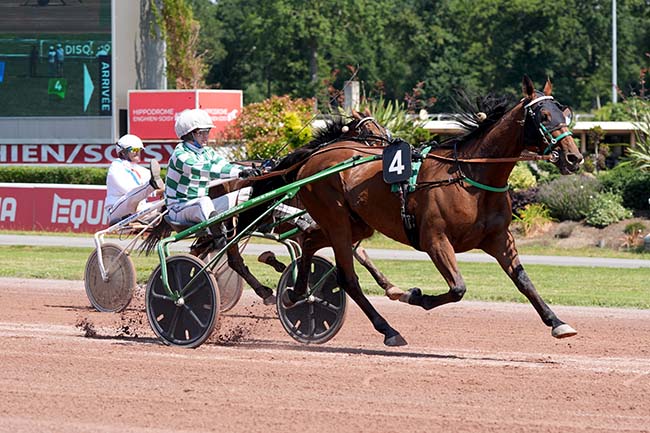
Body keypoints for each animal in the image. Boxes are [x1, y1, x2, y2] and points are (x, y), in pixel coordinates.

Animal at [274, 76, 584, 346]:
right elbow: (458, 288)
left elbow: (524, 281)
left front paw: (557, 323)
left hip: (357, 223)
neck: (469, 177)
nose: (574, 157)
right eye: (543, 116)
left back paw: (296, 293)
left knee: (310, 241)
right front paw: (414, 296)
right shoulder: (435, 239)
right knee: (346, 277)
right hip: (336, 218)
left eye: (564, 113)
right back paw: (387, 330)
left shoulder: (499, 239)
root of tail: (314, 157)